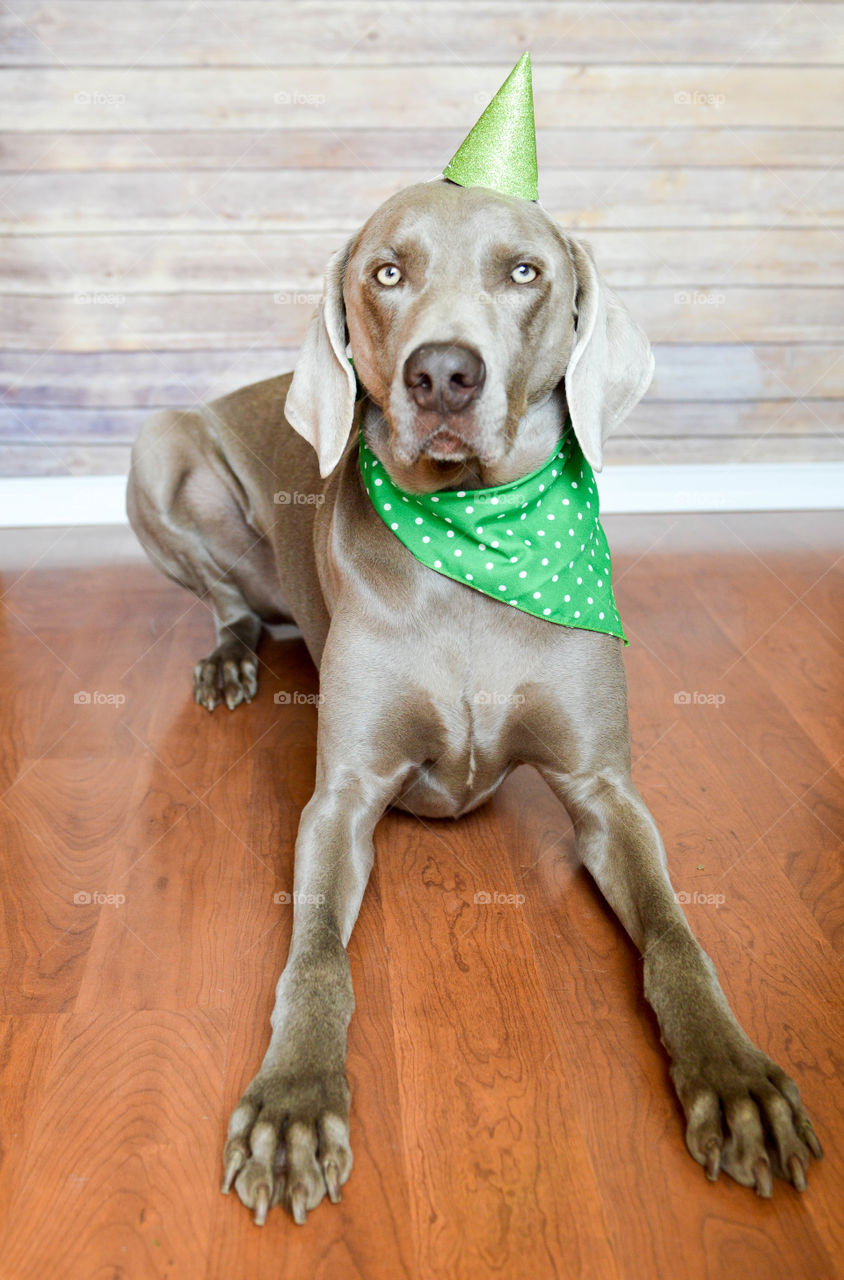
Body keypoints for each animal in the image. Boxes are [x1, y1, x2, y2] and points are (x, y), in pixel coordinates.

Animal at [128, 177, 819, 1218]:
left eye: (525, 272)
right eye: (386, 273)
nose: (443, 375)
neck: (474, 539)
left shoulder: (607, 794)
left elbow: (674, 935)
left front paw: (734, 1078)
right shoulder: (340, 801)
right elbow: (316, 958)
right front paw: (294, 1101)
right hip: (160, 443)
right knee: (227, 601)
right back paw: (229, 659)